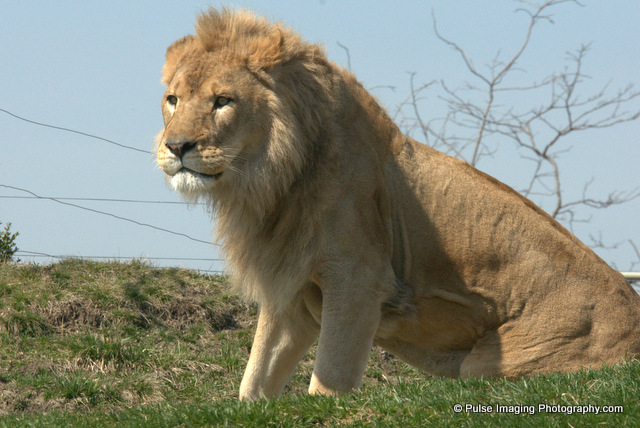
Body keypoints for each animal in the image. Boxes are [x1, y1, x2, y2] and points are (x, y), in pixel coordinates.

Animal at [155, 9, 640, 400]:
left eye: (223, 101)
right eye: (173, 100)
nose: (176, 147)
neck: (270, 180)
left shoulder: (357, 282)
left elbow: (328, 382)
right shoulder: (291, 291)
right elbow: (254, 380)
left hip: (486, 363)